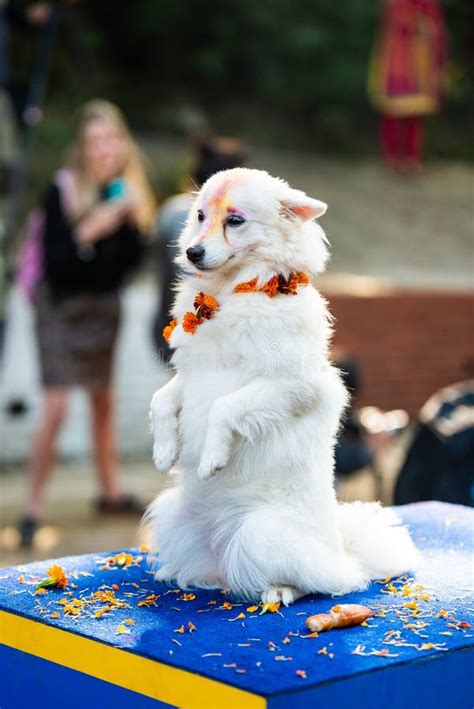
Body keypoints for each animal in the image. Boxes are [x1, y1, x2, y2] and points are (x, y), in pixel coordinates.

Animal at [146, 167, 416, 604]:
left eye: (235, 221)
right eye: (200, 216)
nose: (192, 252)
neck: (228, 292)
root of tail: (342, 551)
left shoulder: (290, 386)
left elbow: (224, 408)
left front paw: (212, 458)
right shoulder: (189, 378)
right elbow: (160, 401)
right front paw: (164, 451)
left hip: (260, 533)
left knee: (326, 583)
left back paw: (279, 590)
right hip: (171, 516)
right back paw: (195, 576)